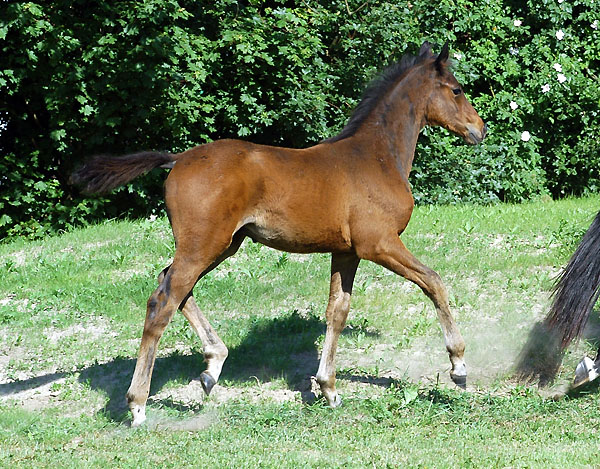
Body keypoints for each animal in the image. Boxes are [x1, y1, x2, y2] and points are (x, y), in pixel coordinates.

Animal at [74, 42, 488, 426]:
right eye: (456, 89)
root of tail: (177, 159)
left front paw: (329, 388)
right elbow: (433, 282)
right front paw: (458, 367)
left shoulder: (347, 251)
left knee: (171, 285)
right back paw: (138, 404)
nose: (479, 129)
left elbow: (337, 311)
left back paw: (212, 367)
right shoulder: (379, 243)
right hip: (204, 245)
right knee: (162, 301)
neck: (377, 156)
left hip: (222, 245)